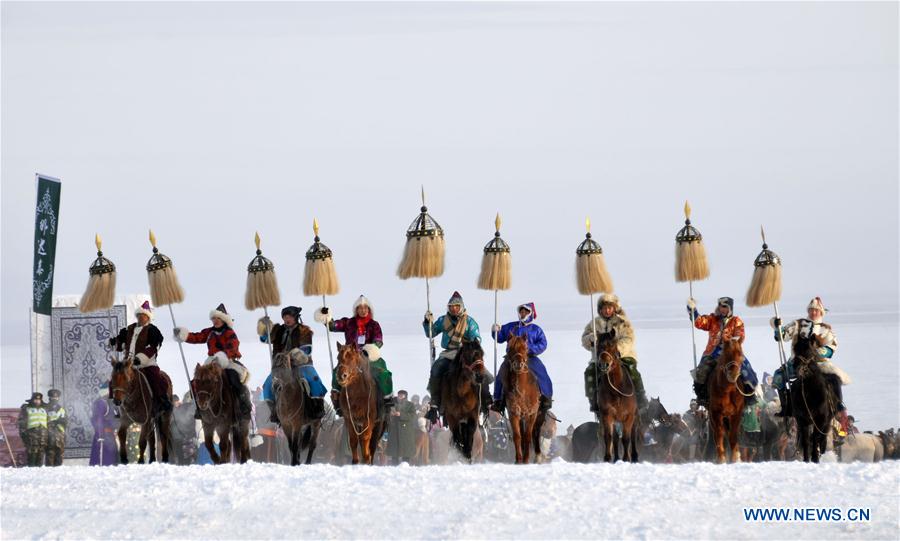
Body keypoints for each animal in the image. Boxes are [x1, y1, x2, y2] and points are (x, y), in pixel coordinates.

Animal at [596, 332, 640, 462]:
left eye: (612, 345)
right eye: (598, 345)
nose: (604, 364)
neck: (616, 390)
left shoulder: (629, 416)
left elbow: (626, 438)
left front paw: (626, 458)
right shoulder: (607, 415)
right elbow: (609, 437)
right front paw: (607, 458)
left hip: (635, 417)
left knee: (633, 435)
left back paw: (634, 456)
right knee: (615, 439)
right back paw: (616, 458)